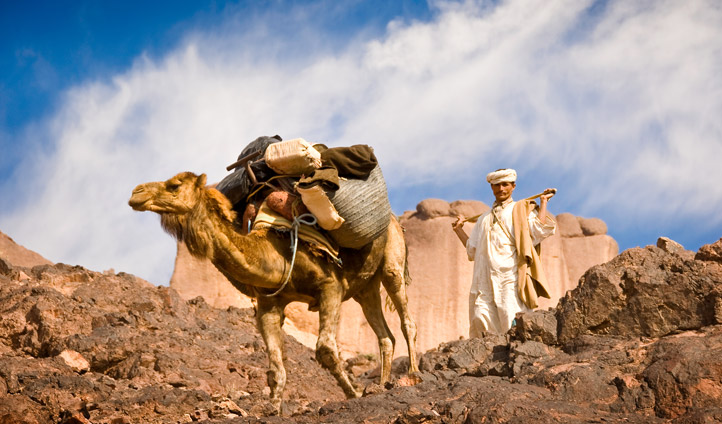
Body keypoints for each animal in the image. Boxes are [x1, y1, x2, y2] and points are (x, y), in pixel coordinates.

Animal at [127, 171, 420, 410]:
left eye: (174, 185)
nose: (135, 193)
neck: (276, 254)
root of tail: (393, 217)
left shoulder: (330, 286)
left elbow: (325, 349)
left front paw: (354, 394)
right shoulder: (269, 305)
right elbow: (275, 370)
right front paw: (274, 409)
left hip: (392, 260)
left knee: (406, 320)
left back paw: (414, 375)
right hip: (365, 288)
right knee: (385, 335)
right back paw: (381, 385)